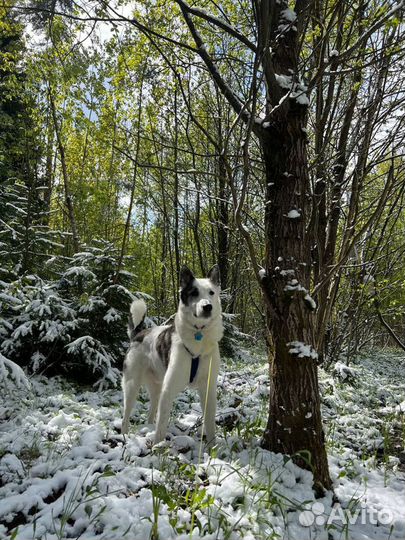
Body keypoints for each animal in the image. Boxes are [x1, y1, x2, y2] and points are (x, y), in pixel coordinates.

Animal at [121, 262, 223, 448]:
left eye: (211, 292)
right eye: (194, 293)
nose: (207, 307)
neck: (198, 336)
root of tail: (139, 334)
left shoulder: (208, 390)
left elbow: (210, 423)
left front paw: (212, 448)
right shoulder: (168, 390)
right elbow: (161, 427)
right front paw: (157, 448)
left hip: (156, 387)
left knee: (151, 412)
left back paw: (147, 428)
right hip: (132, 385)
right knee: (126, 415)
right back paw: (124, 437)